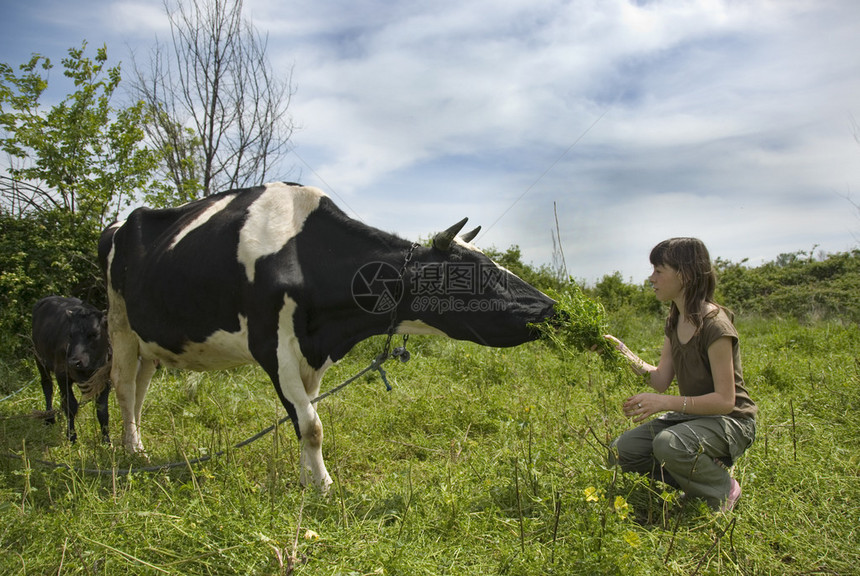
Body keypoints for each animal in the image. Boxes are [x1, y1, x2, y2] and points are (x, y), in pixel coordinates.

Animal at [32, 294, 112, 444]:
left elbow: (102, 410)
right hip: (39, 358)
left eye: (94, 334)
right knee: (47, 386)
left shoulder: (105, 379)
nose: (74, 362)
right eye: (70, 335)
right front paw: (72, 437)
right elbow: (70, 406)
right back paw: (49, 418)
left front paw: (107, 441)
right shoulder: (62, 375)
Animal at [99, 182, 556, 488]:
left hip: (150, 341)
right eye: (474, 273)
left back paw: (135, 445)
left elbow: (305, 416)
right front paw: (321, 486)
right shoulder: (272, 346)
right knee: (122, 386)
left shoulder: (313, 352)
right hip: (119, 321)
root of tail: (121, 221)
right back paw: (132, 451)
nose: (552, 309)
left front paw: (306, 479)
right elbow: (310, 423)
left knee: (140, 389)